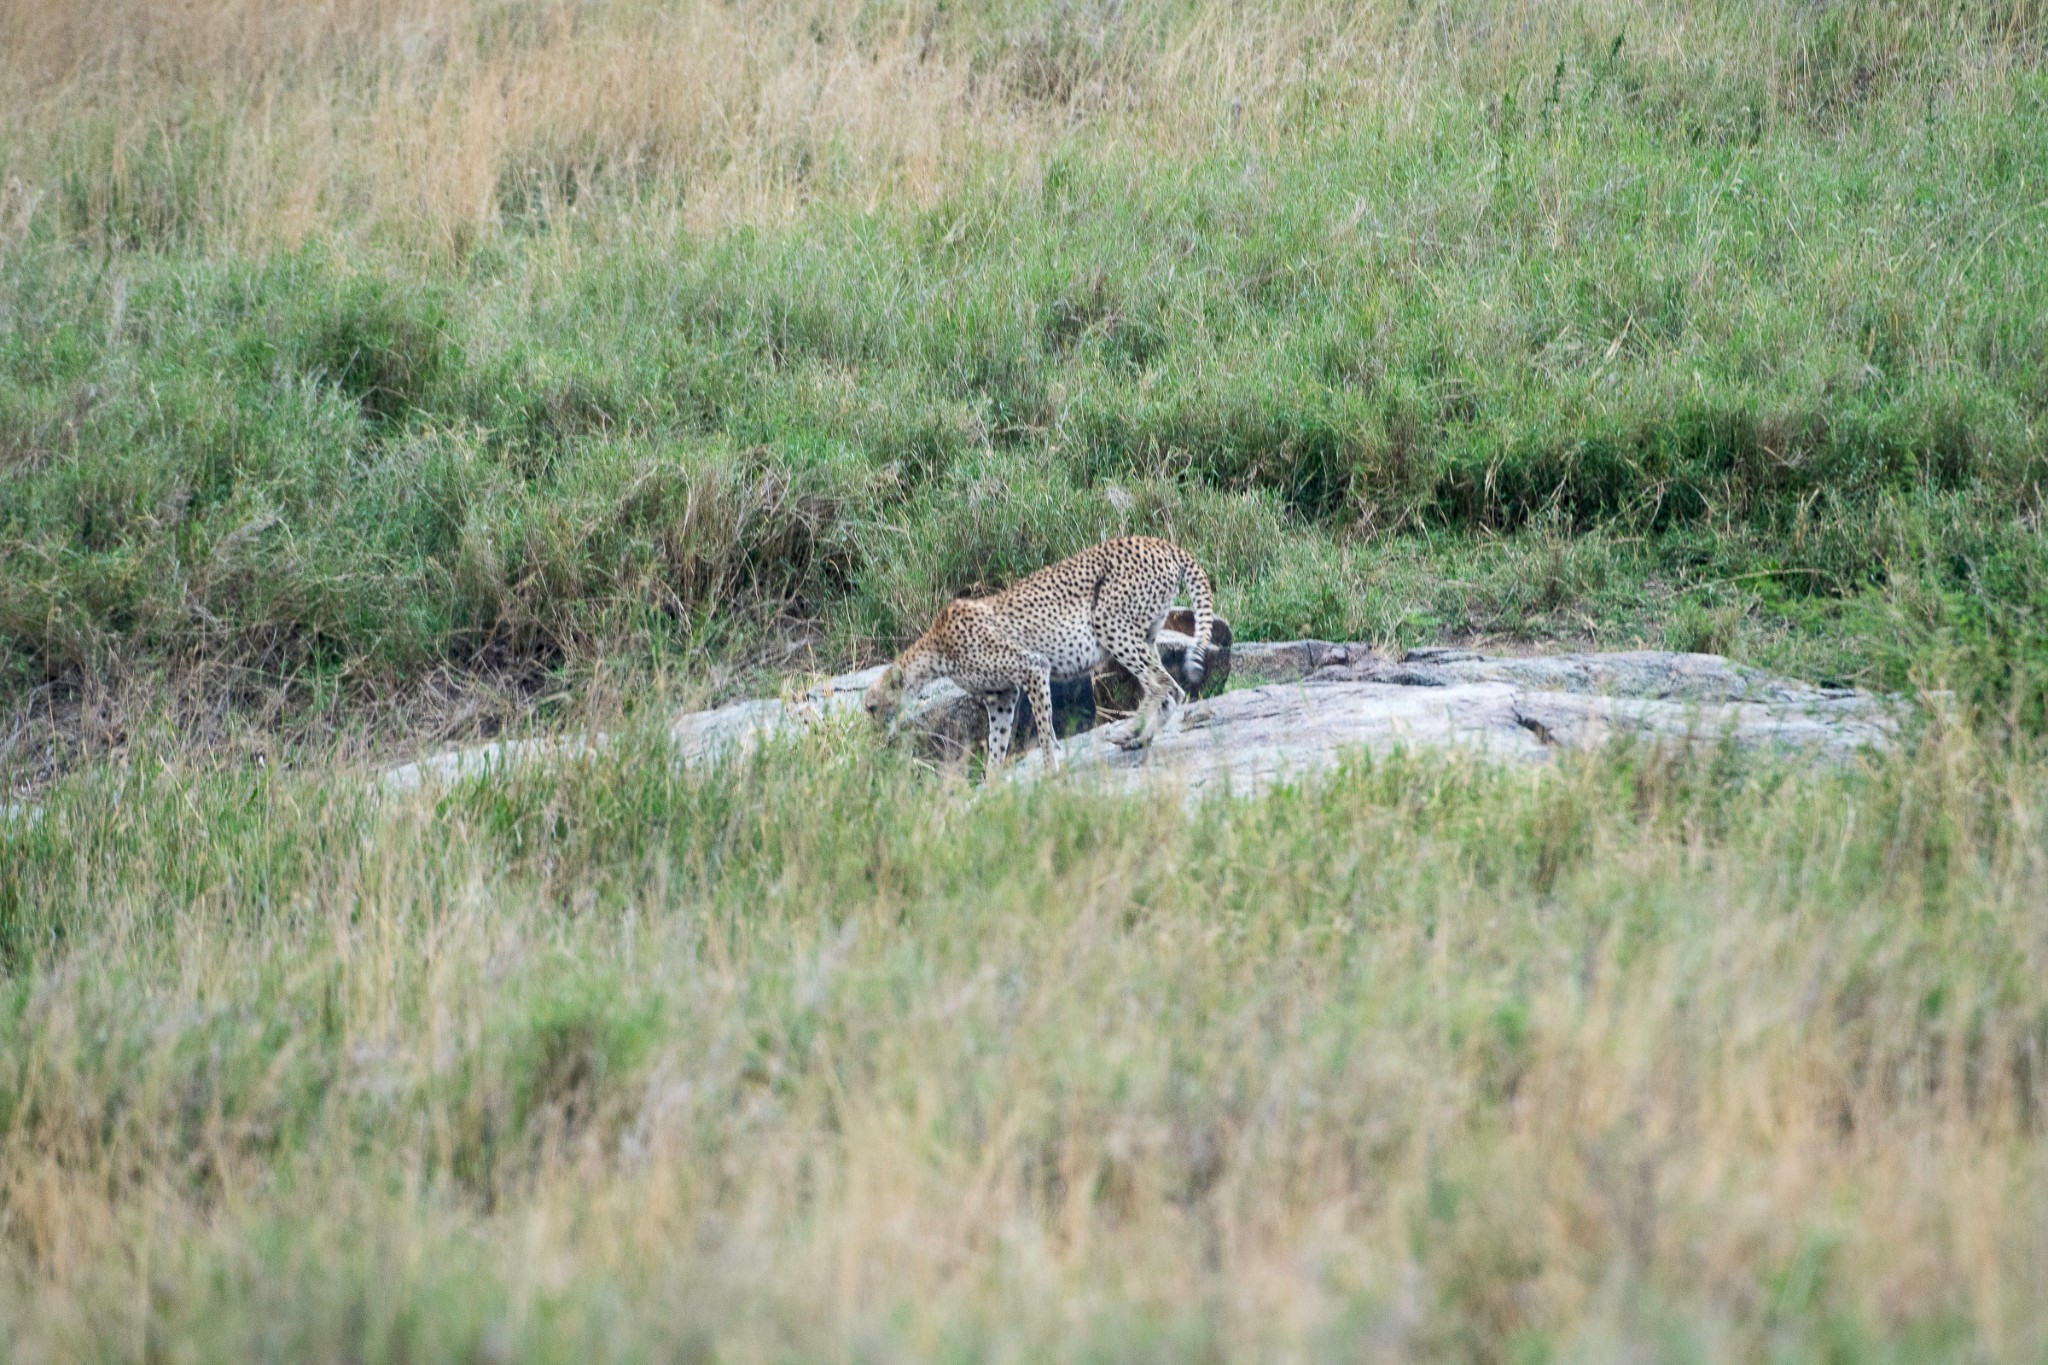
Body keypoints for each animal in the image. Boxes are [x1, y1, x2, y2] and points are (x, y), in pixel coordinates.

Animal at [860, 532, 1204, 769]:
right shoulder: (1001, 696)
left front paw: (1051, 768)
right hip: (1144, 634)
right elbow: (997, 741)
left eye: (871, 708)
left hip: (1110, 624)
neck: (936, 651)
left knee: (1162, 683)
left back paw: (1130, 731)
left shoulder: (1033, 667)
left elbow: (1044, 726)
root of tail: (1161, 542)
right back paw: (1139, 738)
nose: (875, 738)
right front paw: (992, 785)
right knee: (1171, 689)